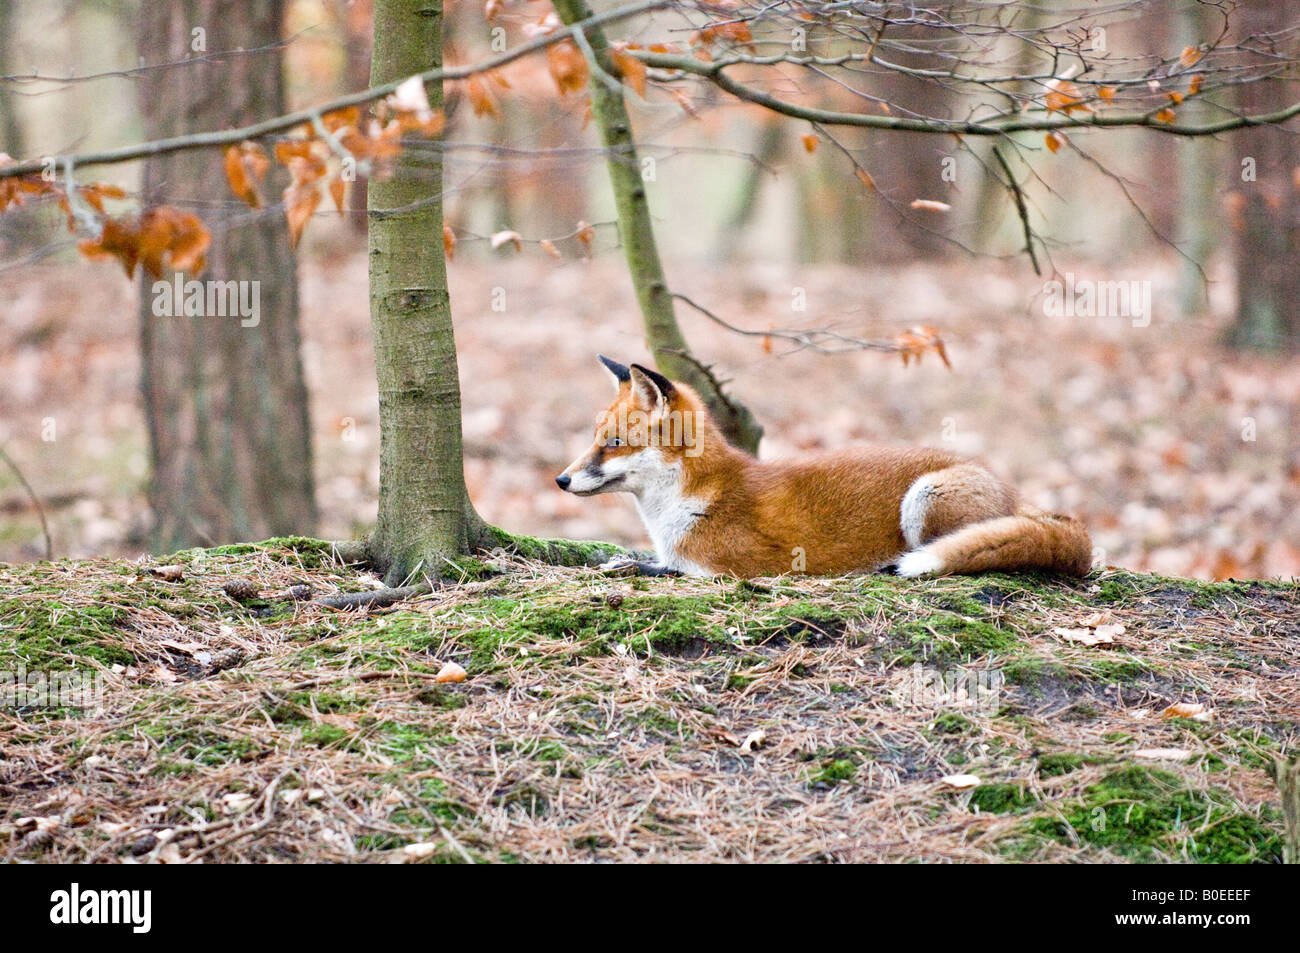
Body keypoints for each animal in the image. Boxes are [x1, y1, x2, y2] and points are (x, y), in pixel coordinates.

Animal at [555, 355, 1093, 579]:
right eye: (594, 439)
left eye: (614, 444)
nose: (561, 480)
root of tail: (1014, 490)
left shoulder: (723, 568)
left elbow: (650, 569)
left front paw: (620, 566)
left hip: (925, 498)